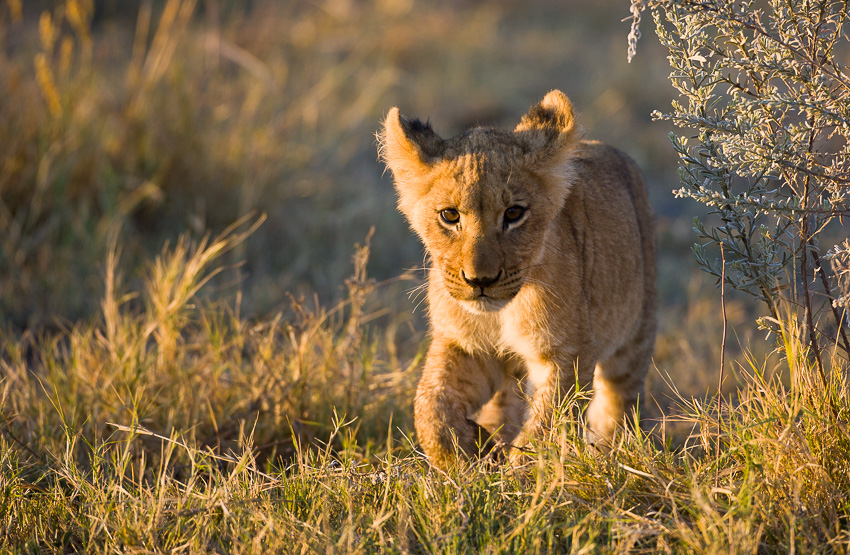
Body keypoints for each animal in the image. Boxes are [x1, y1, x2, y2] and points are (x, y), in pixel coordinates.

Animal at [379, 90, 656, 469]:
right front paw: (468, 453)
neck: (502, 313)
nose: (480, 280)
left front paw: (518, 475)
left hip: (635, 335)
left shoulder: (566, 353)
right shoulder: (463, 344)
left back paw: (610, 455)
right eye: (449, 215)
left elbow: (544, 426)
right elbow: (430, 406)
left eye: (514, 214)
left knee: (618, 403)